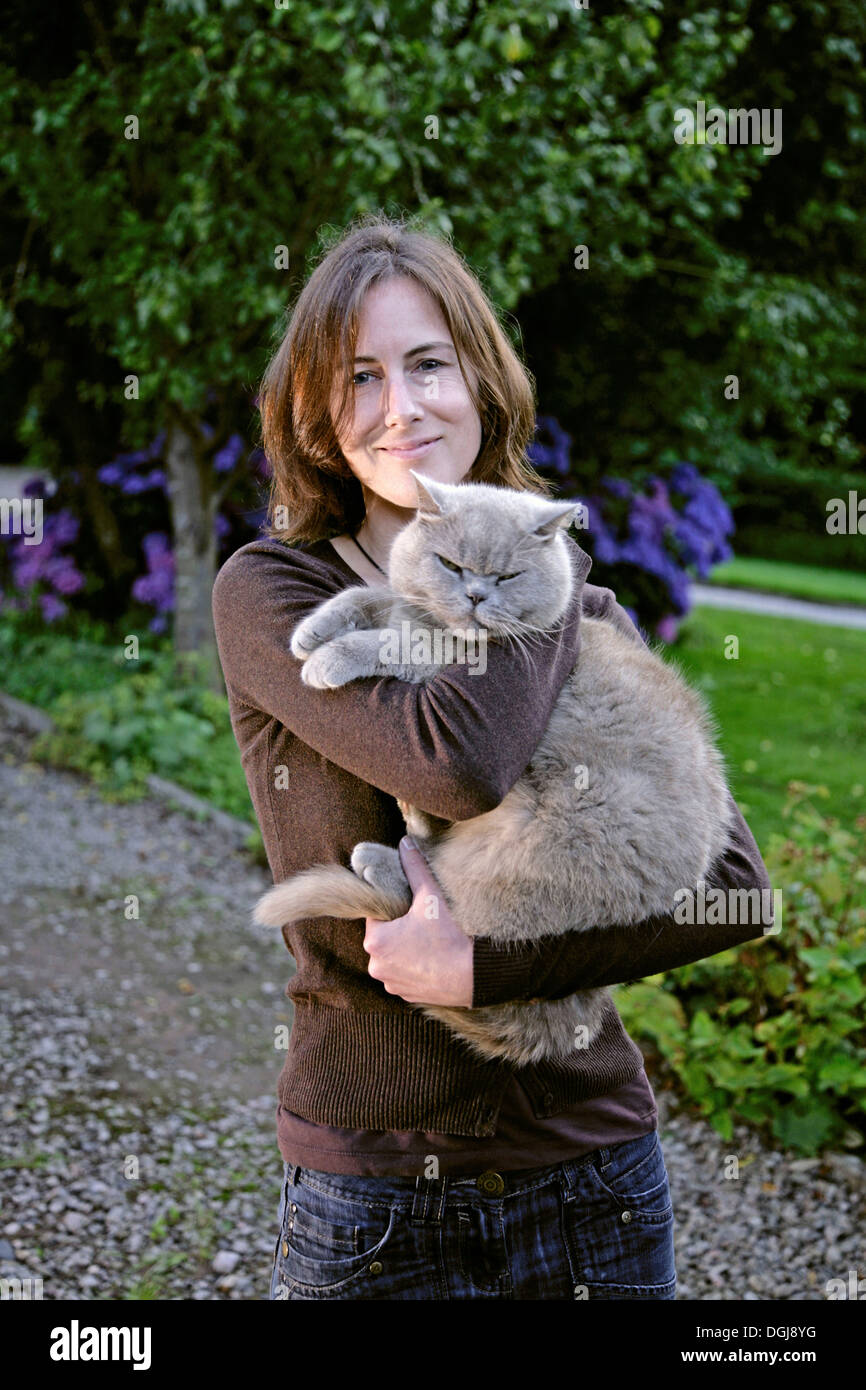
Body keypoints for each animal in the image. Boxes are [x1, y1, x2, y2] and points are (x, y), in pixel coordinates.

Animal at [254, 467, 733, 1061]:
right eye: (450, 564)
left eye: (507, 575)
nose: (476, 594)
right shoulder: (404, 599)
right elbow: (369, 591)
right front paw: (312, 630)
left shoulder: (442, 657)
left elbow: (388, 640)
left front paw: (327, 658)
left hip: (535, 844)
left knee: (450, 898)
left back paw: (381, 857)